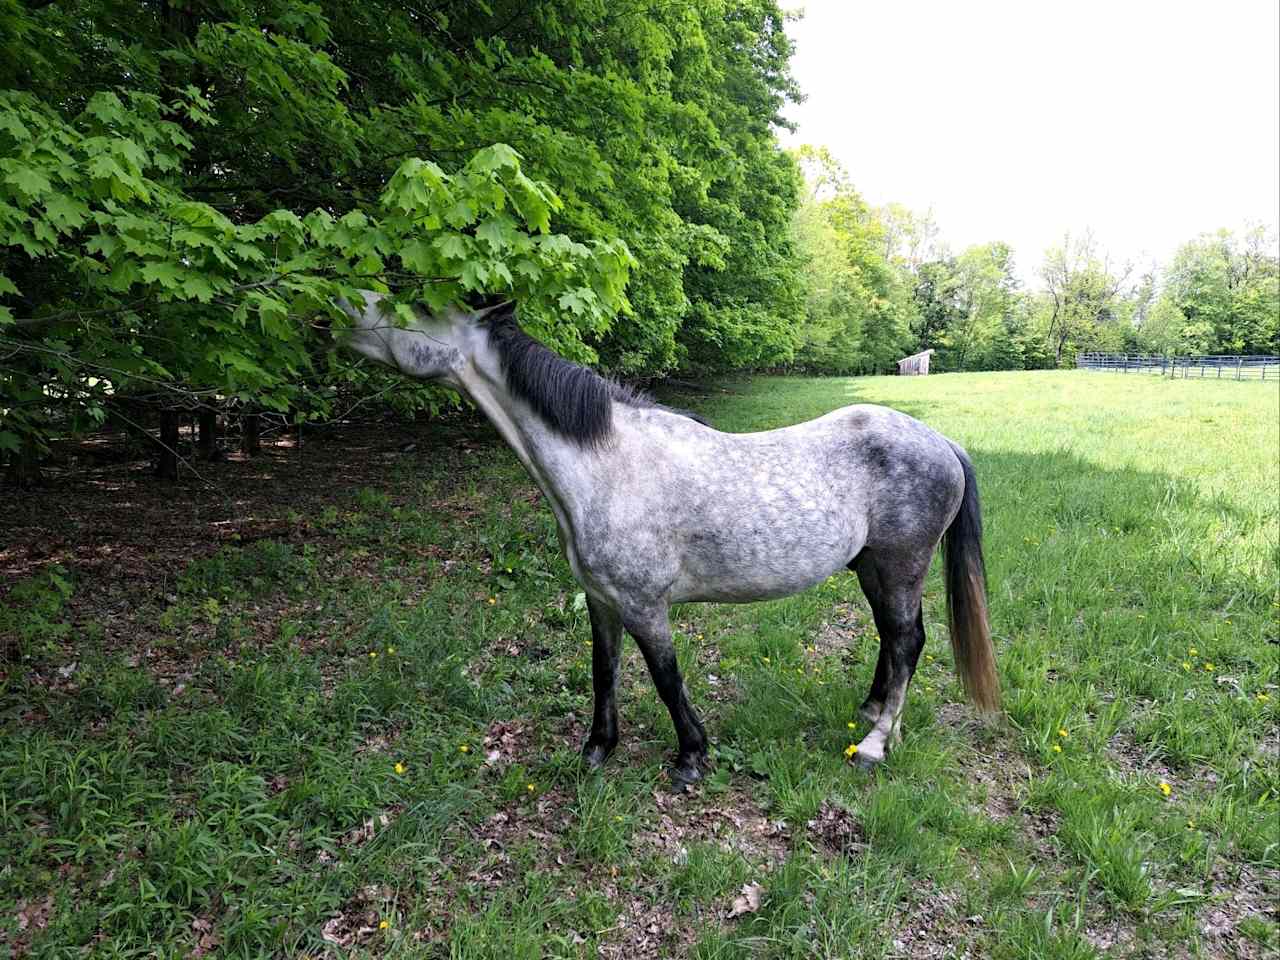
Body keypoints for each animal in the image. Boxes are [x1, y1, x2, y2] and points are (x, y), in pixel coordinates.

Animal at [340, 295, 998, 788]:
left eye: (418, 306)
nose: (342, 308)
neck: (607, 464)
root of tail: (942, 442)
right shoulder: (602, 602)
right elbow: (604, 672)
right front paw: (596, 750)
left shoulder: (644, 605)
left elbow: (665, 676)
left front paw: (690, 758)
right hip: (870, 569)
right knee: (892, 637)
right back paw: (870, 712)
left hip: (902, 565)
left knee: (908, 641)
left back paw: (876, 744)